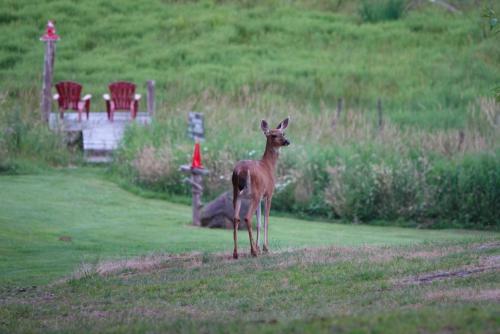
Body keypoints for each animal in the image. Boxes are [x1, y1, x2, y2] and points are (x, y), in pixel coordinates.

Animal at [230, 117, 290, 258]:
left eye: (283, 133)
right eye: (273, 135)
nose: (287, 141)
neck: (268, 166)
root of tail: (240, 171)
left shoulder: (261, 197)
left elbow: (259, 223)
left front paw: (259, 246)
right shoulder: (268, 193)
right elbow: (266, 220)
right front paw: (265, 248)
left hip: (236, 194)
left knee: (236, 218)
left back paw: (236, 253)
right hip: (255, 194)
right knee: (247, 217)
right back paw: (253, 251)